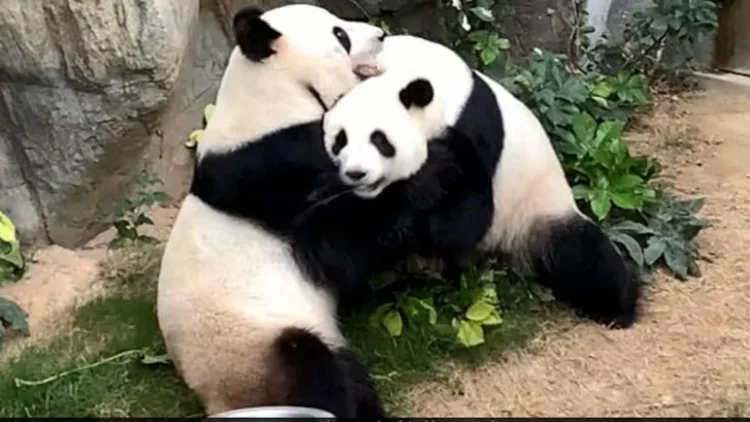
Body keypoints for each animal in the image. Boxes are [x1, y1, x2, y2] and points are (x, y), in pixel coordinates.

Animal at [156, 5, 387, 417]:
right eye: (340, 35)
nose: (381, 35)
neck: (273, 95)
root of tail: (216, 401)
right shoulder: (276, 169)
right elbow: (339, 247)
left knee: (349, 374)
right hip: (253, 348)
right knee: (313, 368)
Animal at [321, 35, 641, 329]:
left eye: (380, 140)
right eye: (340, 140)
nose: (356, 174)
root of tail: (502, 253)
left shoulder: (472, 129)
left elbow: (465, 220)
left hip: (537, 210)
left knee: (582, 255)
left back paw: (618, 308)